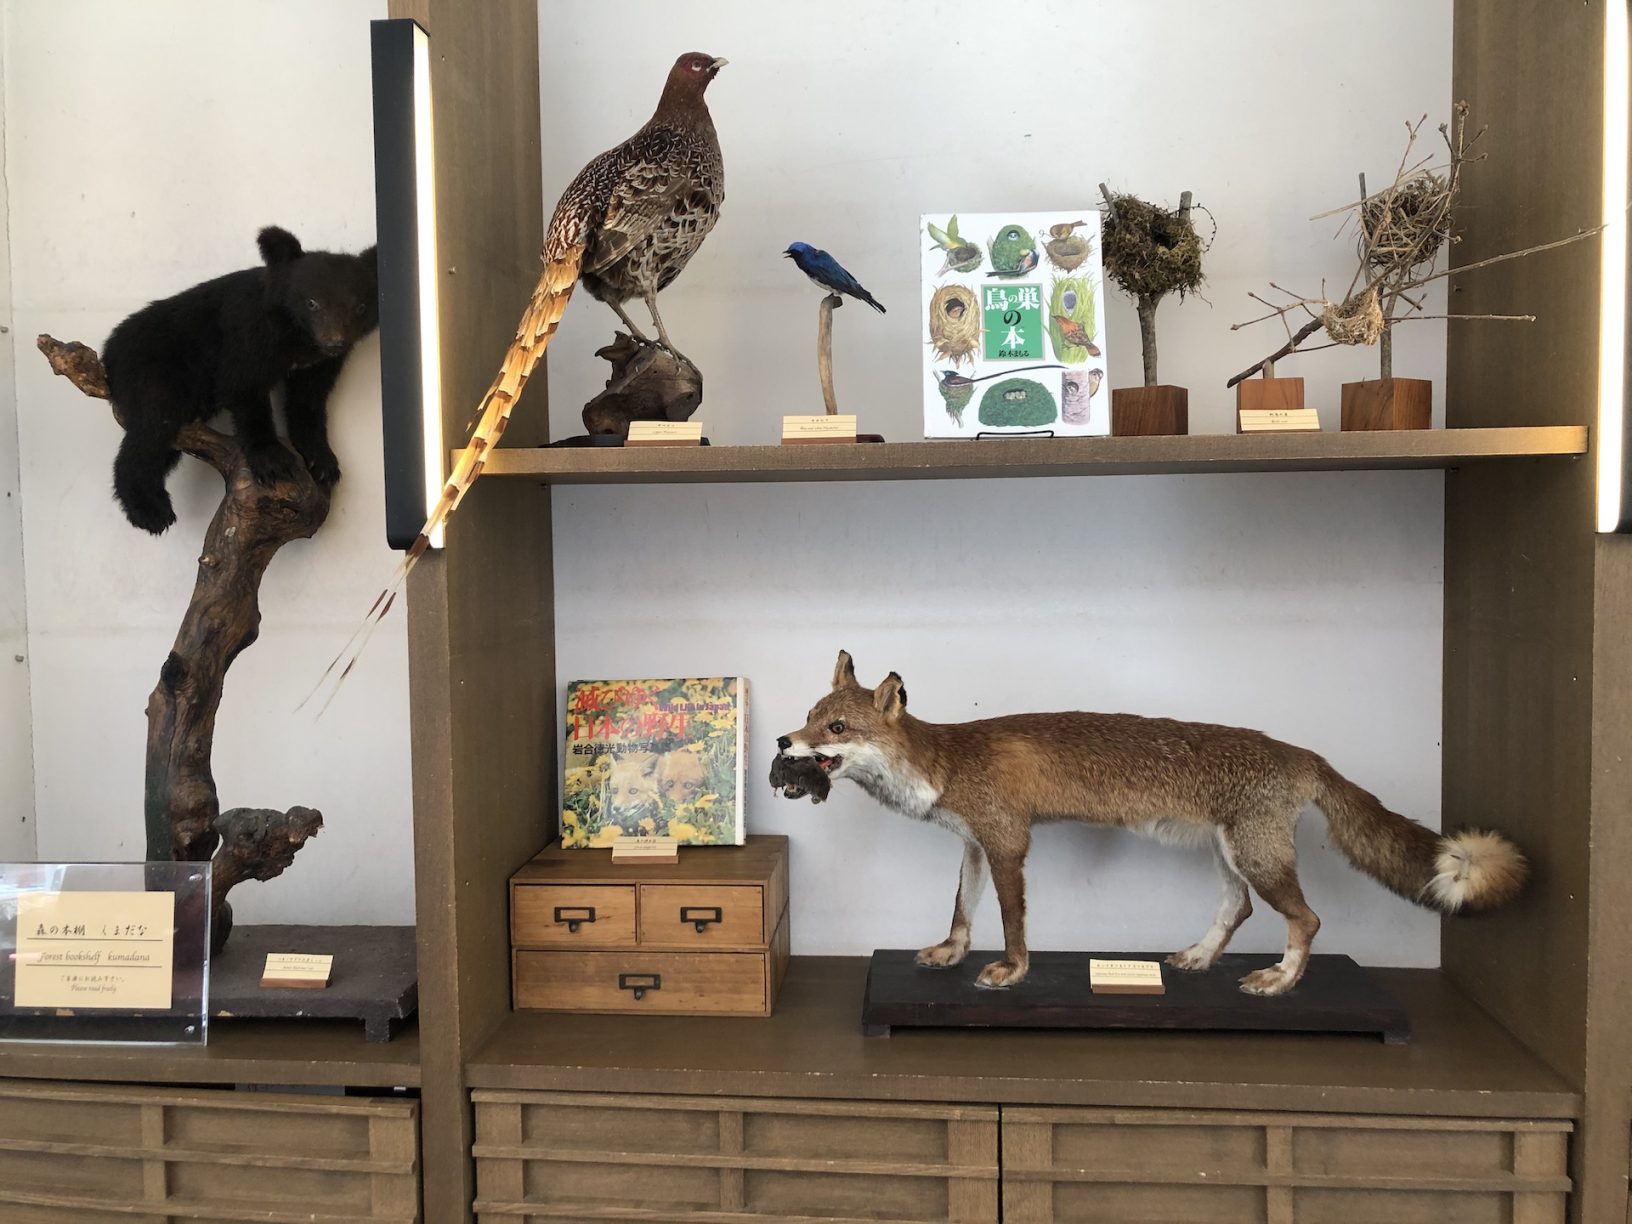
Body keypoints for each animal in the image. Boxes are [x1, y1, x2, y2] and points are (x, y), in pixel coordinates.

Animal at [774, 650, 1528, 996]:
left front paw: (1012, 970)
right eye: (809, 715)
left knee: (1306, 920)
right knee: (1239, 910)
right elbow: (961, 911)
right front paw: (951, 954)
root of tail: (1300, 753)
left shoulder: (1010, 842)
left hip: (1255, 855)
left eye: (835, 728)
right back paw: (1199, 959)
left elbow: (1013, 921)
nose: (783, 742)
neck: (946, 761)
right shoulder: (976, 846)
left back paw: (1281, 982)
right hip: (1229, 857)